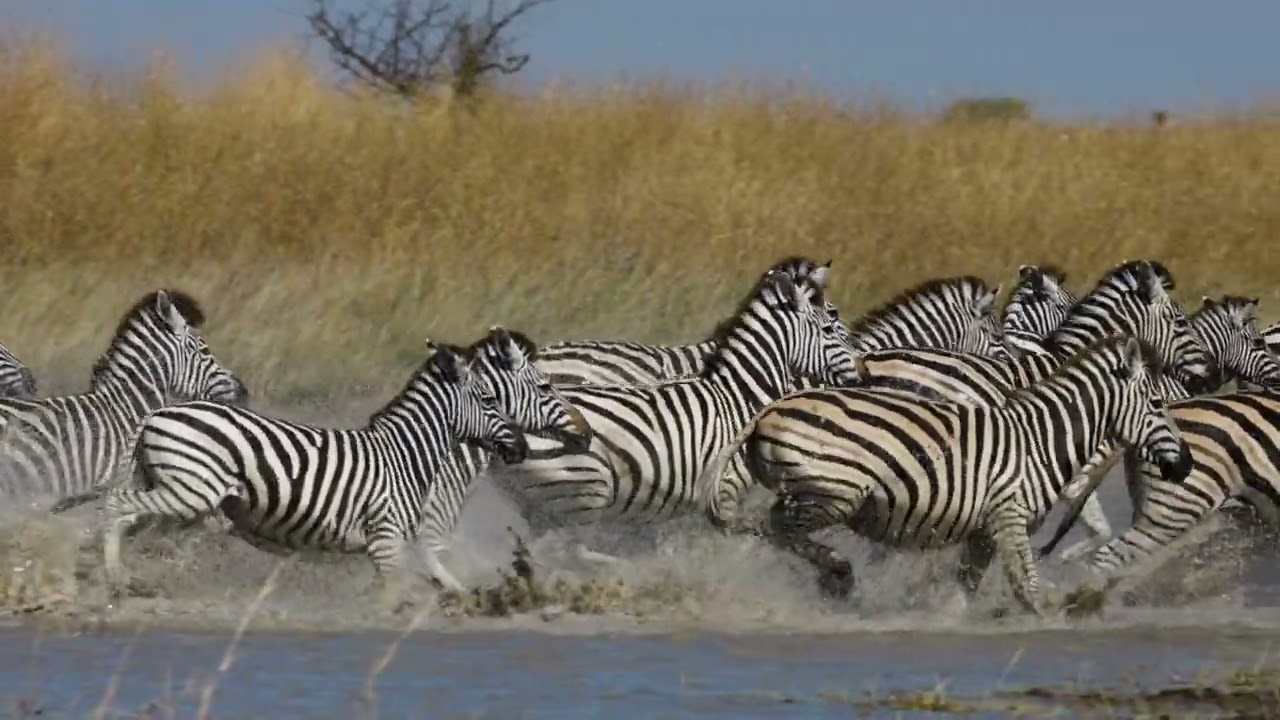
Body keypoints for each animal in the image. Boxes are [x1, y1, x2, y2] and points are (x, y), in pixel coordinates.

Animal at [100, 328, 592, 606]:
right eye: (543, 386)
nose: (584, 435)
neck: (407, 452)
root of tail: (155, 415)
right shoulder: (388, 538)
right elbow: (395, 595)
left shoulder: (408, 539)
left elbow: (439, 576)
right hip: (188, 491)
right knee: (115, 504)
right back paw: (115, 579)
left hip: (180, 499)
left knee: (134, 523)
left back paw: (134, 579)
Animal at [701, 335, 1192, 613]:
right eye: (1157, 404)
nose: (1185, 465)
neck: (1039, 440)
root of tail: (770, 409)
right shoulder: (1008, 515)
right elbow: (1026, 585)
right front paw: (1053, 614)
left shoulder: (983, 530)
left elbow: (968, 586)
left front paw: (949, 616)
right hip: (834, 491)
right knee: (777, 527)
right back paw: (838, 574)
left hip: (811, 489)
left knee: (768, 525)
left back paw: (834, 575)